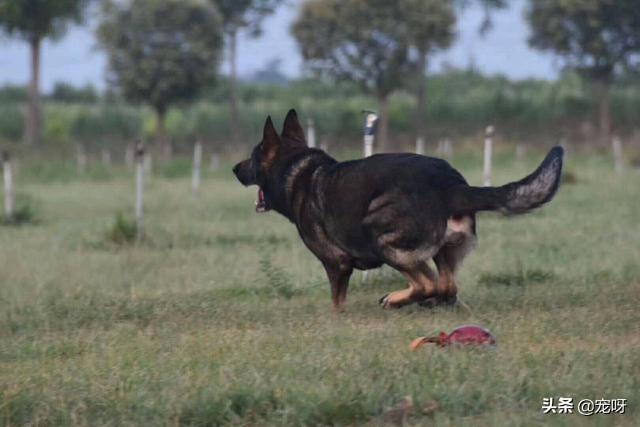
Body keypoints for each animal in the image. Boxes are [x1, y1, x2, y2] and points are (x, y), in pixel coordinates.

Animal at [232, 110, 564, 310]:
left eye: (253, 157)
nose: (234, 169)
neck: (297, 170)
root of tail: (451, 185)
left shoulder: (336, 263)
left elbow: (337, 303)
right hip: (440, 249)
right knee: (445, 284)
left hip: (379, 233)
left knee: (427, 284)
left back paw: (395, 299)